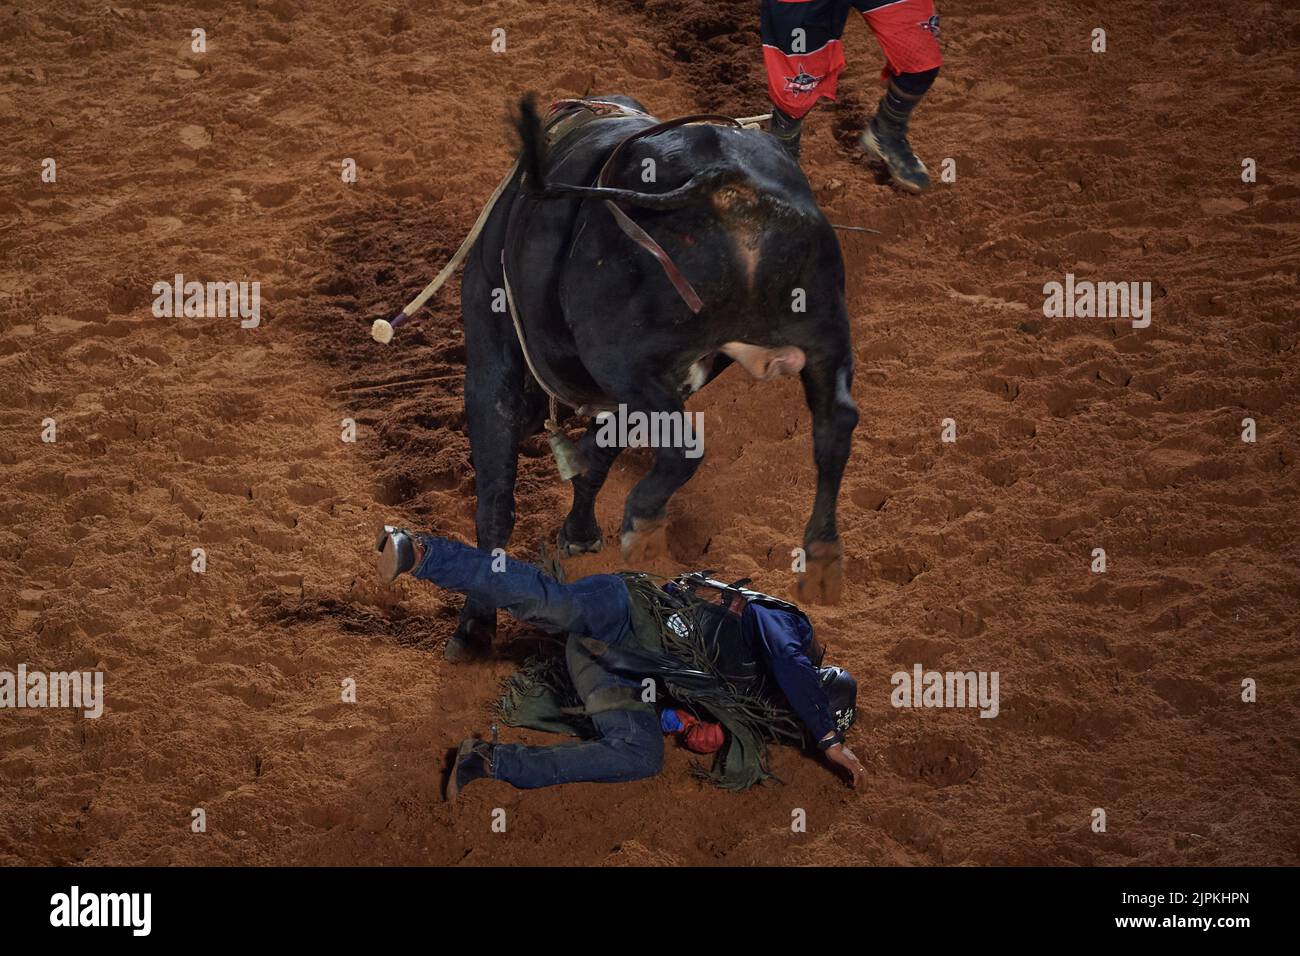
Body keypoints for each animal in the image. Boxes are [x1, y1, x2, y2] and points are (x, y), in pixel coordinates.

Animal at [441, 98, 857, 665]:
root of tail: (727, 185)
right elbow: (598, 460)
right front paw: (579, 531)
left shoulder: (492, 367)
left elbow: (496, 502)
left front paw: (474, 625)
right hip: (822, 332)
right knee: (835, 425)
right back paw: (822, 557)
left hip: (623, 356)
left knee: (685, 448)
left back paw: (642, 523)